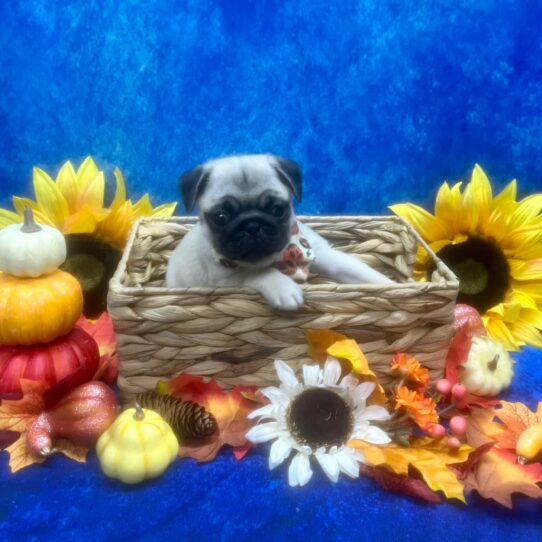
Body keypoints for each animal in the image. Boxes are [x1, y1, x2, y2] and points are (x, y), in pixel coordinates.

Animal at [166, 155, 396, 312]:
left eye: (278, 210)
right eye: (220, 217)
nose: (252, 225)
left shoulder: (317, 250)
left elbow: (352, 268)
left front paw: (390, 286)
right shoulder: (224, 279)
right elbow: (257, 272)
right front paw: (284, 288)